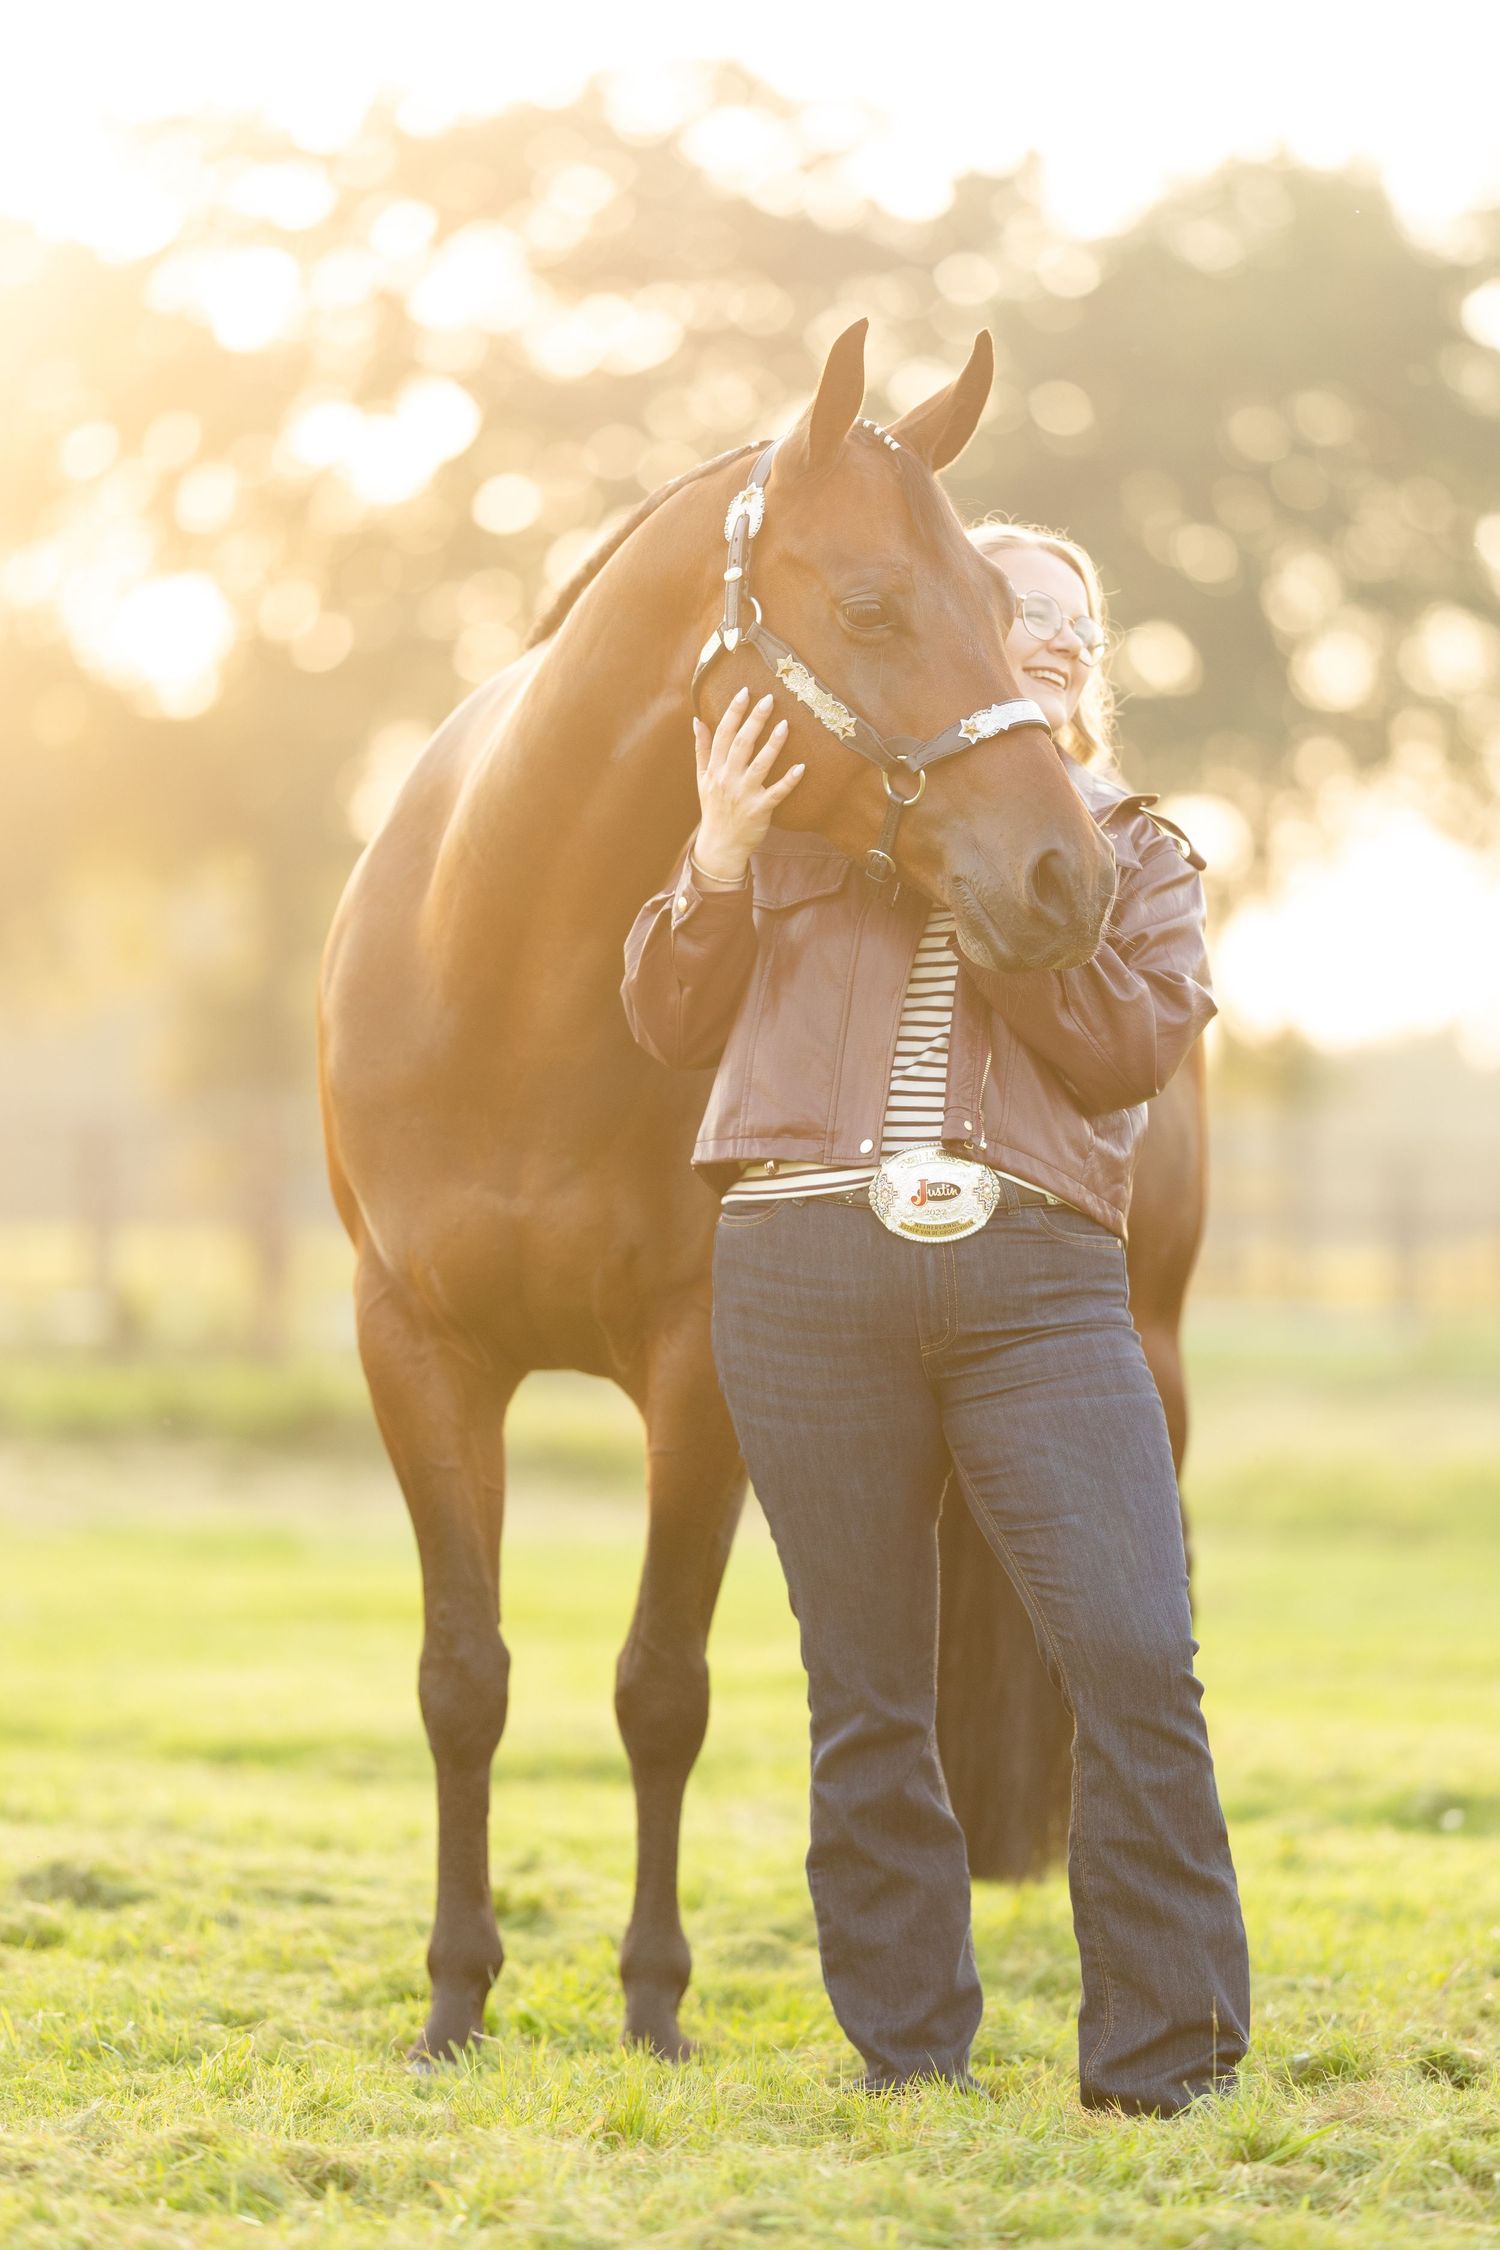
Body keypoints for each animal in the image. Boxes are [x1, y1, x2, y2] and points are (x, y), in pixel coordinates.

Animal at [318, 318, 1143, 2064]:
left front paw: (652, 2004)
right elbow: (462, 1677)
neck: (519, 979)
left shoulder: (701, 1369)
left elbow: (661, 1688)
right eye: (878, 603)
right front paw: (453, 1999)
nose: (1070, 880)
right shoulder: (416, 1349)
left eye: (999, 612)